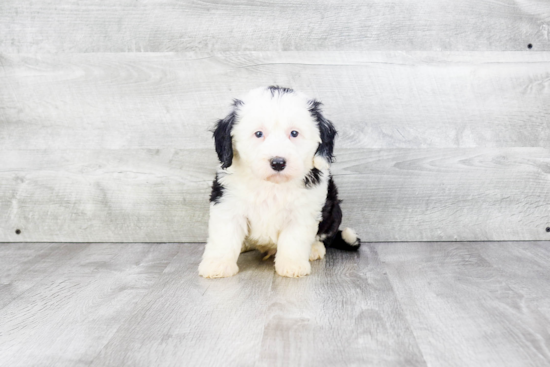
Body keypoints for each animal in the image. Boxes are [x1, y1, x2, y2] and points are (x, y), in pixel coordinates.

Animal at [198, 85, 362, 278]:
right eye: (258, 134)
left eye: (294, 133)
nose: (278, 162)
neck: (272, 186)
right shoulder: (227, 203)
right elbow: (224, 236)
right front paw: (217, 265)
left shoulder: (302, 211)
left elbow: (294, 239)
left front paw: (292, 265)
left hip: (333, 211)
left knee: (324, 236)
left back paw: (314, 249)